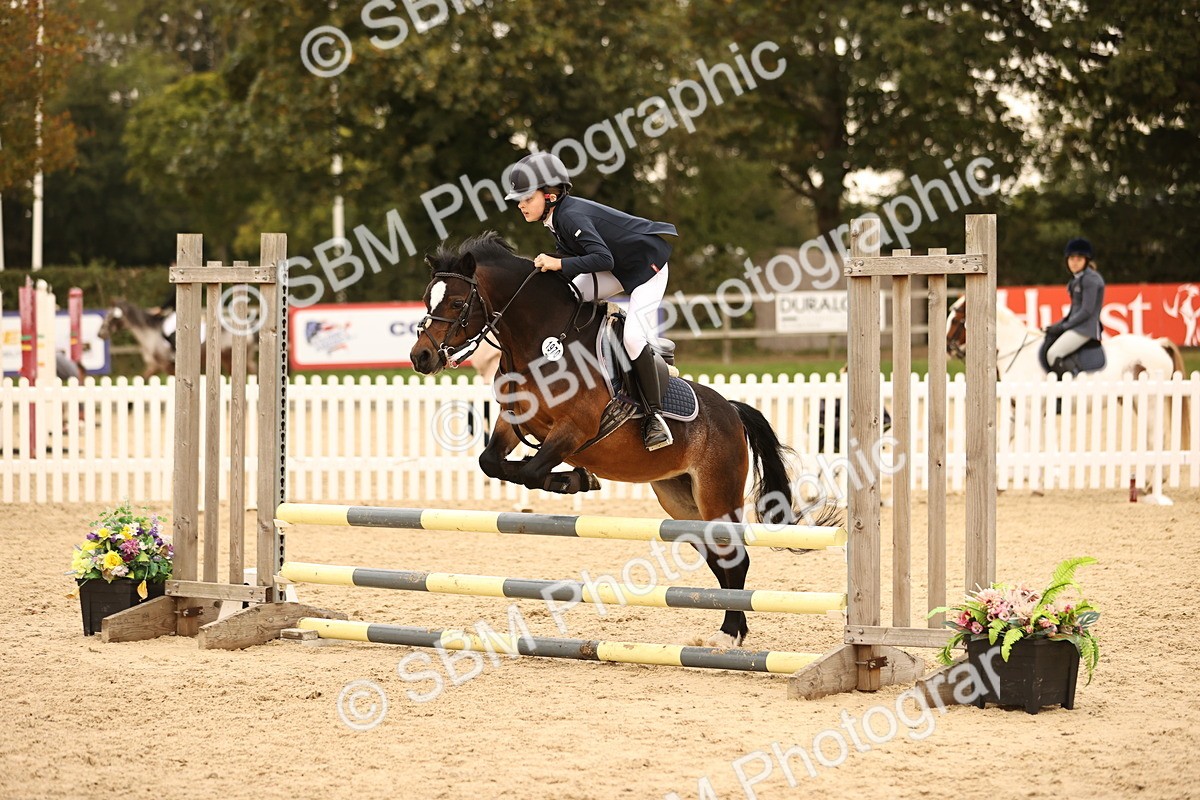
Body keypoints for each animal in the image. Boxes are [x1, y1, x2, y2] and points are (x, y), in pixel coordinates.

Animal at [410, 232, 840, 649]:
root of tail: (732, 411)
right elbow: (491, 463)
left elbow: (531, 470)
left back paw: (732, 631)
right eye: (427, 299)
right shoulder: (515, 421)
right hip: (680, 501)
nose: (421, 357)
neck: (540, 344)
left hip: (718, 494)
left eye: (458, 301)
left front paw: (575, 479)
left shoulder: (574, 428)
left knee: (736, 556)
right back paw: (729, 626)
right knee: (719, 557)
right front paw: (576, 479)